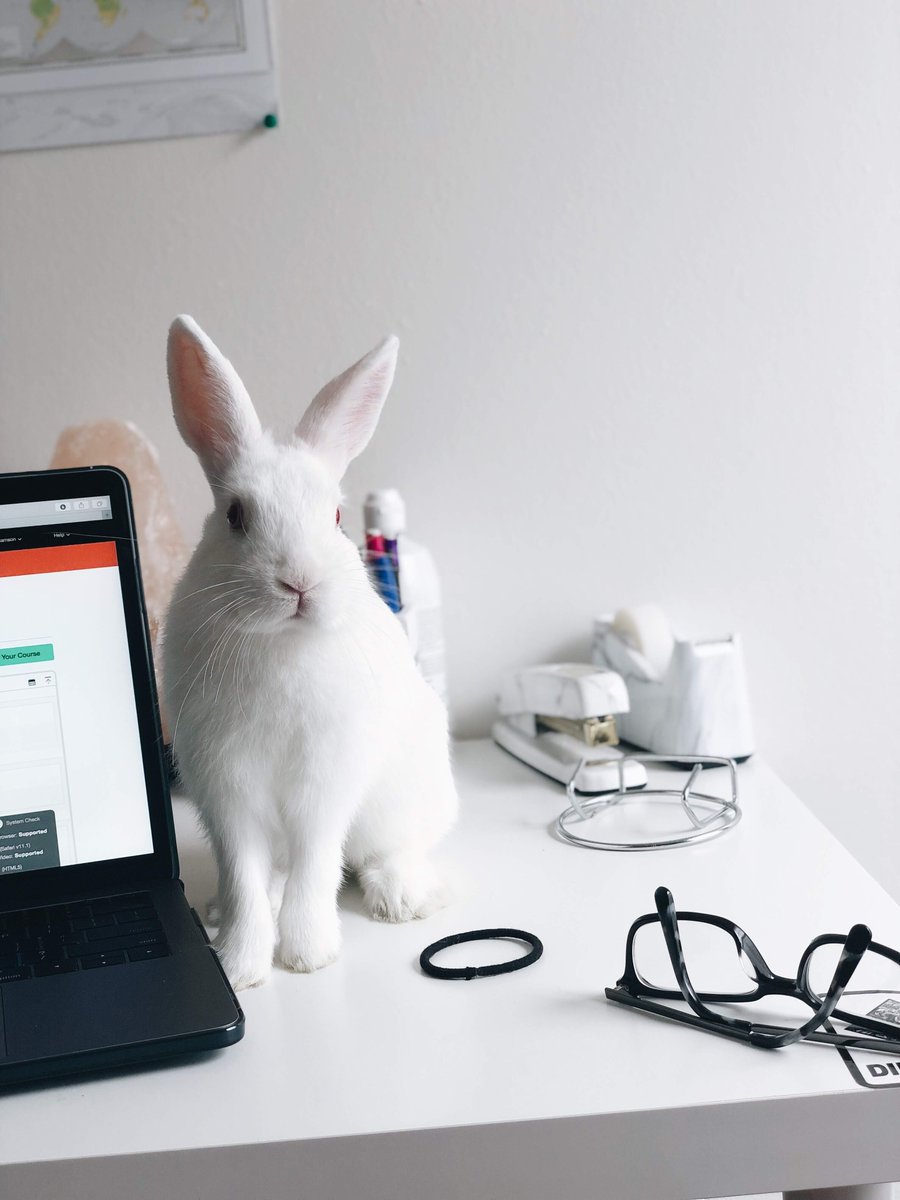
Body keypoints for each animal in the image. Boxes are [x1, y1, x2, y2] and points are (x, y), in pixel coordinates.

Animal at [162, 316, 458, 990]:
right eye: (235, 515)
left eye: (338, 516)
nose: (298, 583)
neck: (281, 640)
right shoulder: (227, 792)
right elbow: (246, 879)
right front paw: (240, 965)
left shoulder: (325, 783)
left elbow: (317, 866)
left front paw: (306, 955)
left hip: (400, 801)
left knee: (386, 852)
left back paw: (403, 898)